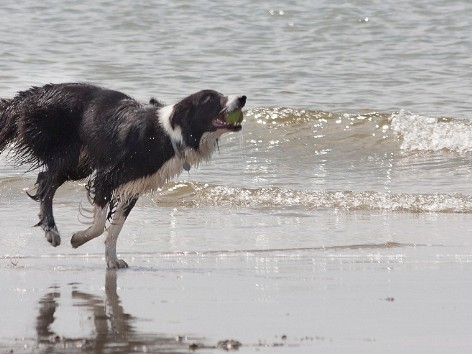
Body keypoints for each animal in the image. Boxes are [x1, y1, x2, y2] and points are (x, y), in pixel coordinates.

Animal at [0, 83, 245, 268]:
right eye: (210, 99)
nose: (242, 98)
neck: (168, 134)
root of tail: (29, 96)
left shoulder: (134, 188)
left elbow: (114, 229)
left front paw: (112, 261)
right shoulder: (106, 178)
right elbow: (100, 225)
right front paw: (78, 239)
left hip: (79, 163)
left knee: (45, 179)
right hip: (69, 155)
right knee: (46, 184)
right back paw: (51, 230)